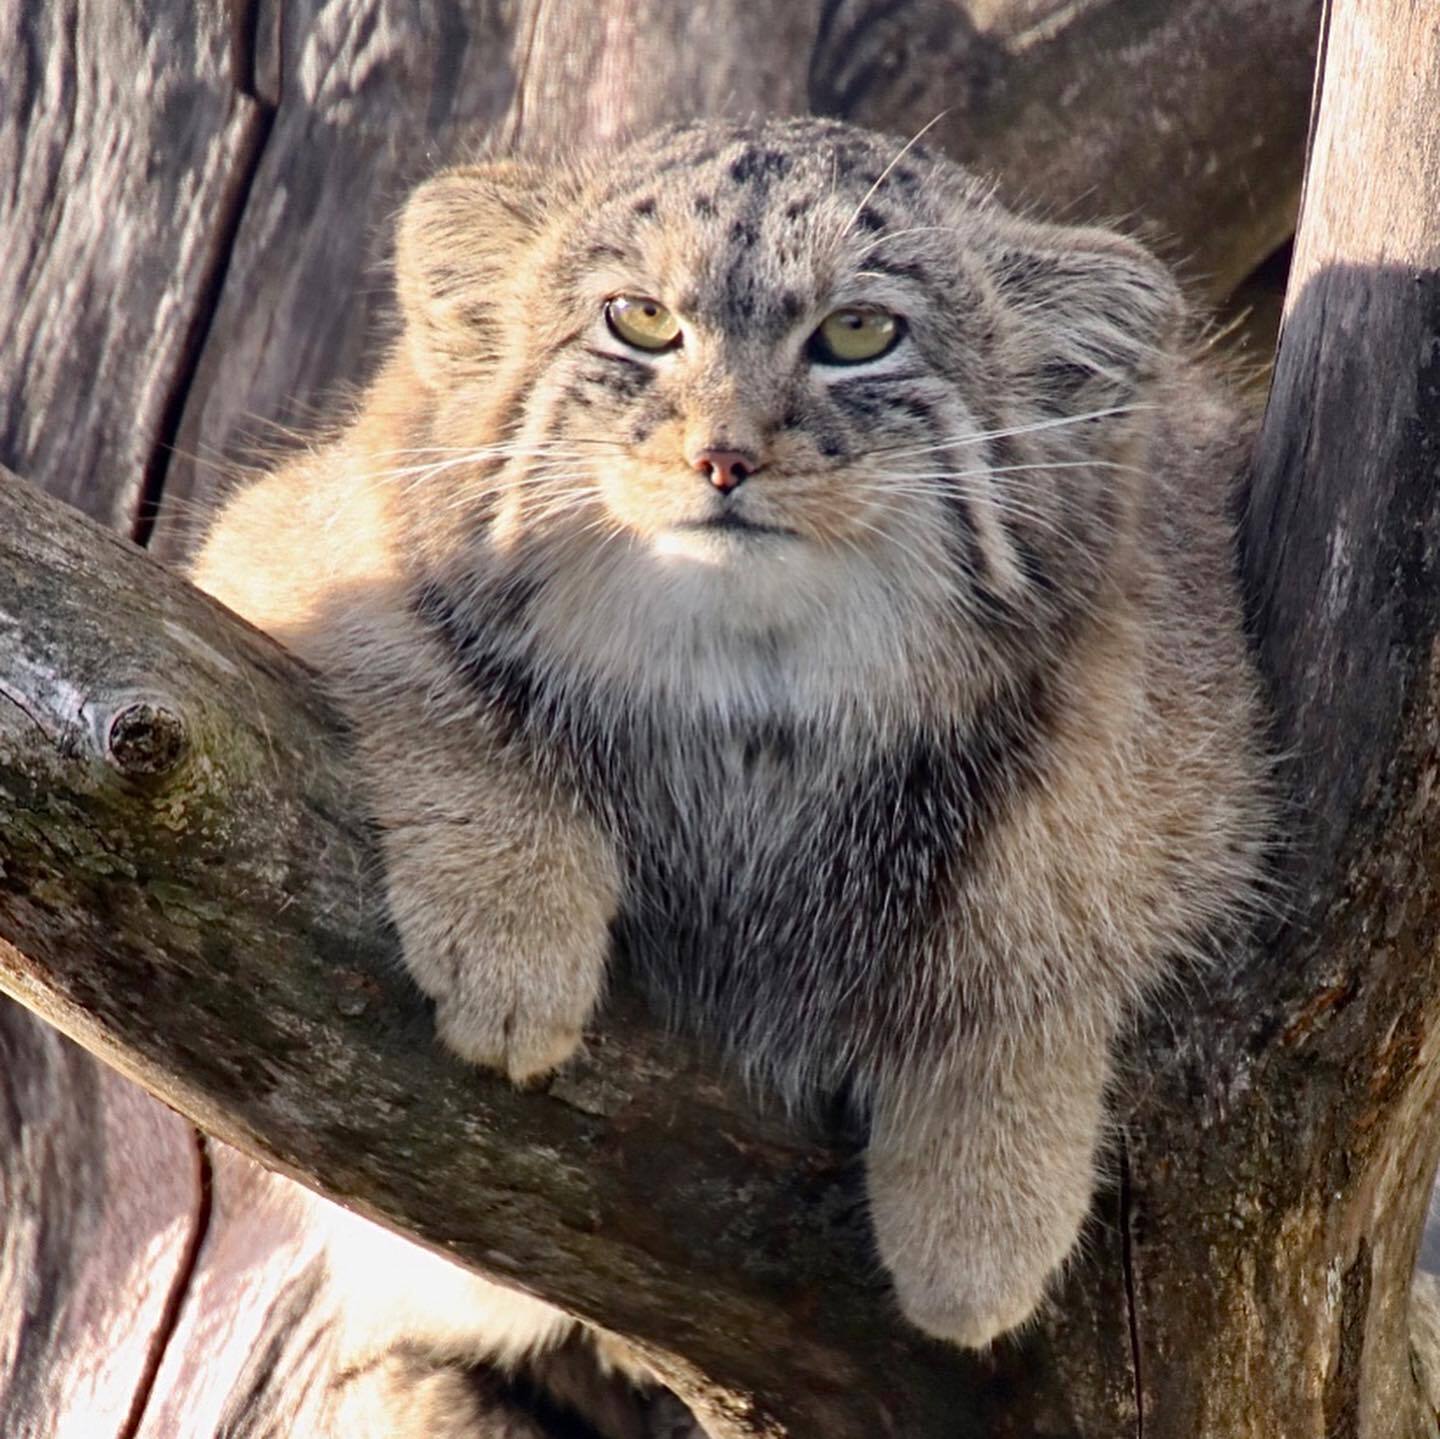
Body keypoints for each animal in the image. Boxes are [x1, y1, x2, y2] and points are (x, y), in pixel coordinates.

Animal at [185, 115, 1267, 1359]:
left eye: (859, 333)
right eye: (640, 320)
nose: (724, 458)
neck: (749, 706)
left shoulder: (1189, 749)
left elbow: (1047, 948)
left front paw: (987, 1204)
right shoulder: (275, 554)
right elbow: (442, 685)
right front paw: (511, 932)